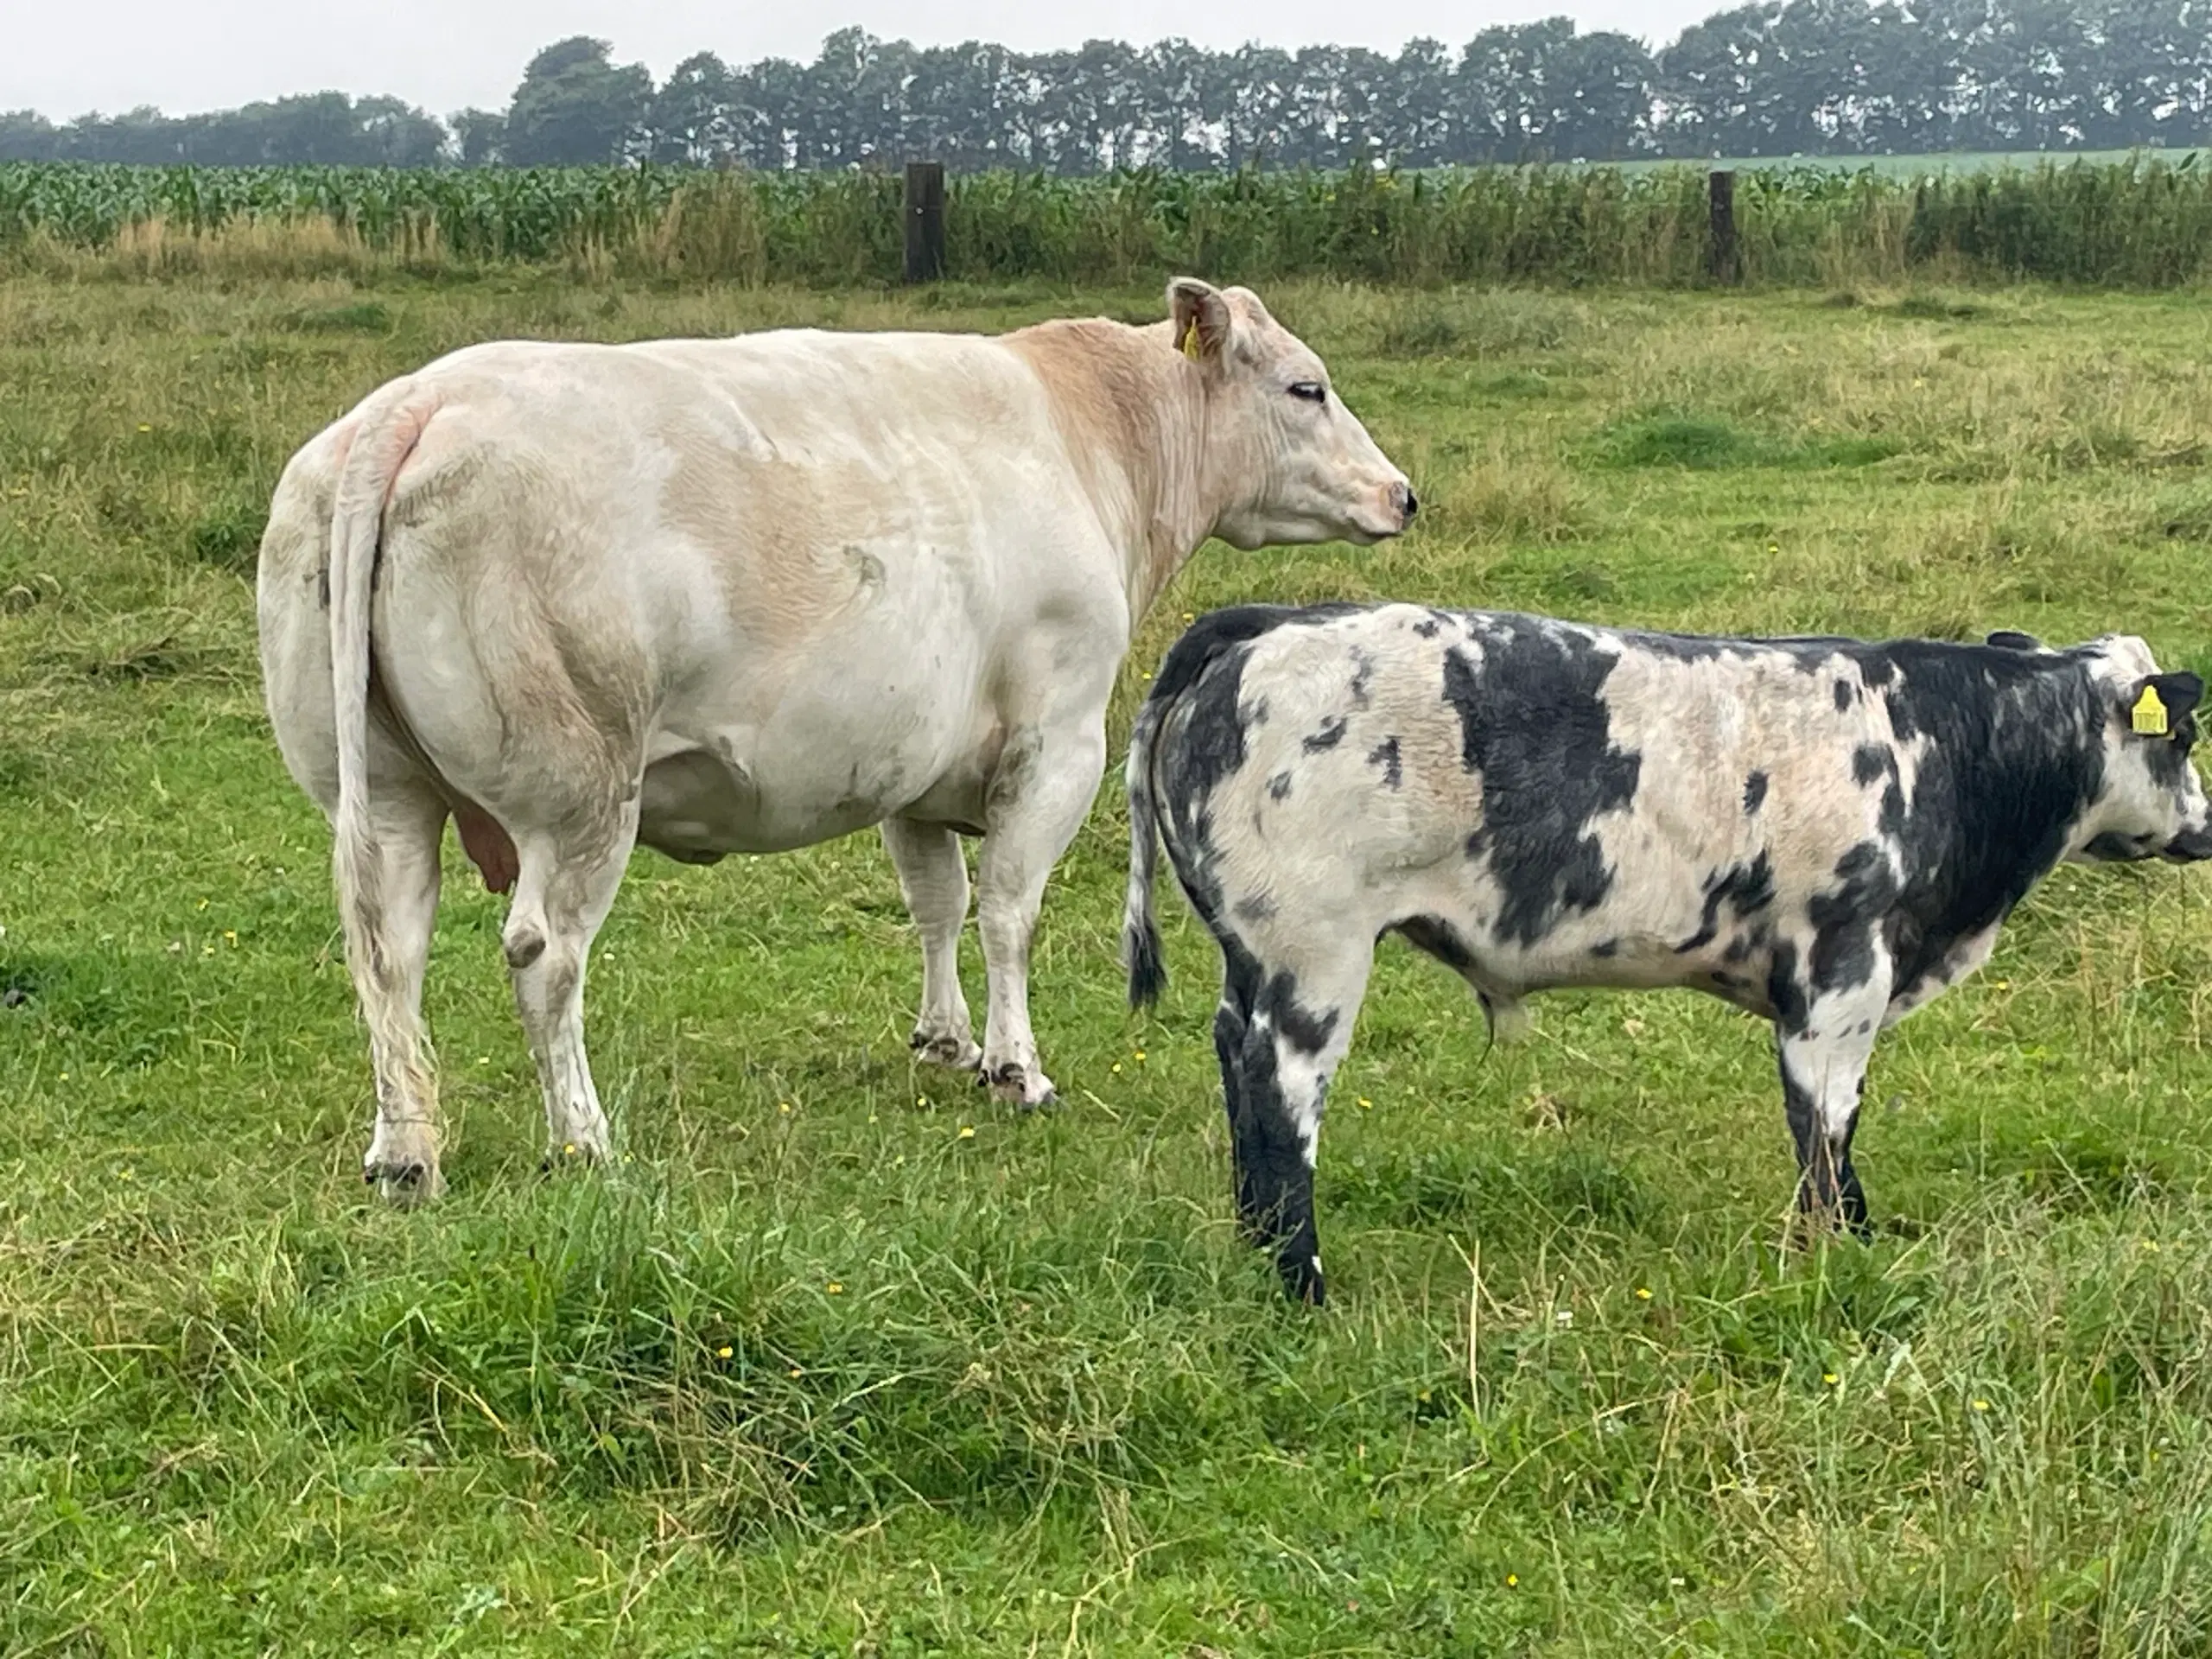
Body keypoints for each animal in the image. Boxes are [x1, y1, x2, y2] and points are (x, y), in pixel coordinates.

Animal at [258, 279, 1415, 1203]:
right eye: (1306, 389)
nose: (1402, 494)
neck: (1092, 438)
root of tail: (419, 399)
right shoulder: (1058, 740)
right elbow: (1008, 911)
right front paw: (1015, 1069)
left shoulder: (915, 761)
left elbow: (936, 902)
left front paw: (945, 1042)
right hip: (581, 793)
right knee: (545, 954)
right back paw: (583, 1137)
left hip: (383, 793)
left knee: (388, 950)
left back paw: (406, 1152)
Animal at [1132, 606, 2202, 1309]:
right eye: (2184, 735)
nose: (2203, 826)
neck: (1940, 746)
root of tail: (1270, 623)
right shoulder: (1841, 979)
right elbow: (1827, 1131)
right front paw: (1834, 1254)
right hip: (1314, 956)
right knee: (1281, 1100)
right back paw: (1301, 1284)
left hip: (1251, 957)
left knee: (1232, 1063)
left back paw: (1252, 1249)